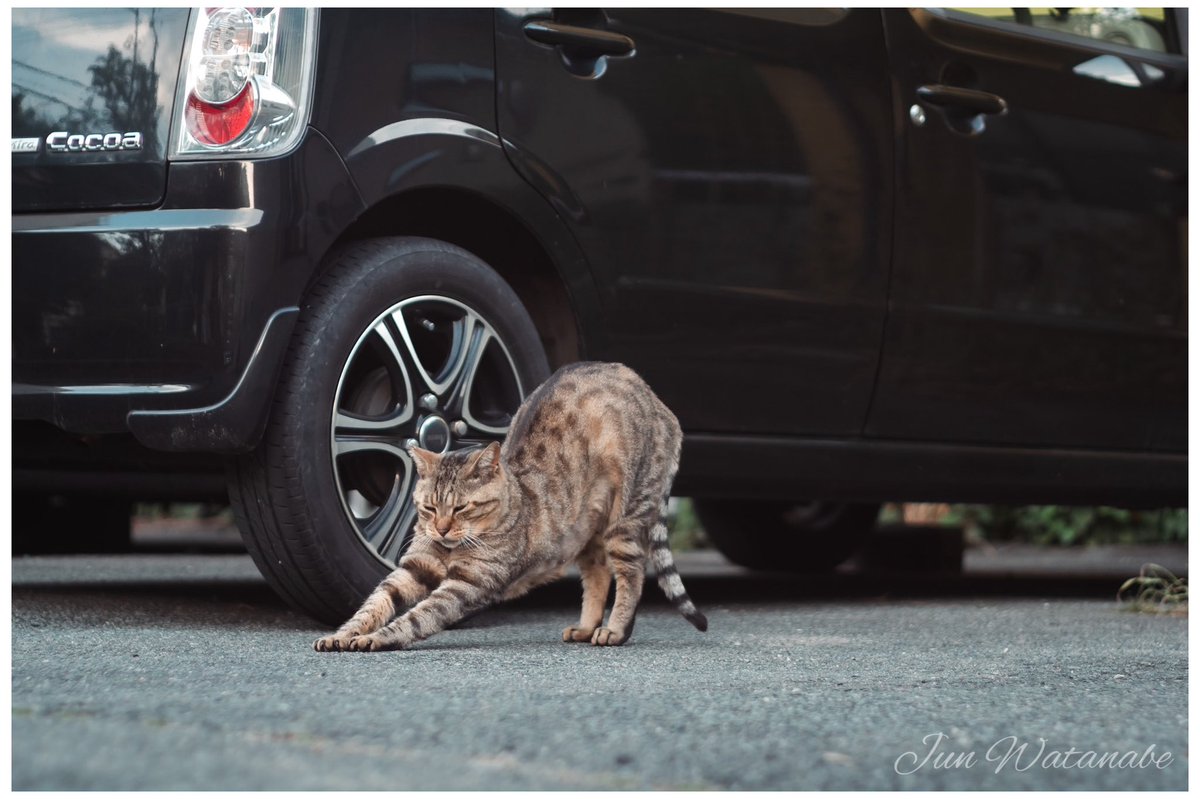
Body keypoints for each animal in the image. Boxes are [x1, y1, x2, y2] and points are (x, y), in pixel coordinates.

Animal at [314, 359, 705, 647]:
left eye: (461, 508)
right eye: (429, 508)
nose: (441, 529)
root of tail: (656, 399)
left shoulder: (466, 584)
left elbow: (417, 617)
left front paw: (378, 638)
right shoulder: (415, 566)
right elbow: (375, 602)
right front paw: (344, 634)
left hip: (625, 515)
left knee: (631, 574)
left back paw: (615, 630)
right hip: (583, 530)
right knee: (598, 574)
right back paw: (585, 627)